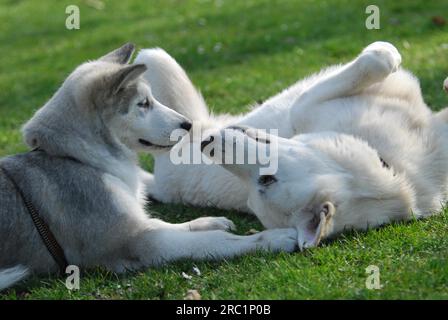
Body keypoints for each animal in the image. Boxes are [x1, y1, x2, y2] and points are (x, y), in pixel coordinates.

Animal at [0, 43, 298, 290]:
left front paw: (207, 221)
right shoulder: (133, 241)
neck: (76, 157)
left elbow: (166, 224)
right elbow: (211, 242)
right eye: (143, 104)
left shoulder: (138, 225)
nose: (188, 125)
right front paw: (271, 239)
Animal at [137, 42, 448, 248]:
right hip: (154, 58)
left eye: (266, 180)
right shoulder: (305, 106)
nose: (208, 144)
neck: (391, 163)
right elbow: (377, 60)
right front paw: (387, 53)